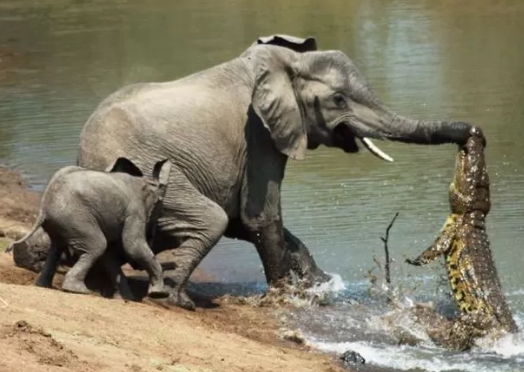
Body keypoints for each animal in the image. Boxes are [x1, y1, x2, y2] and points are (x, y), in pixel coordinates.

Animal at [6, 157, 171, 300]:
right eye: (160, 206)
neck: (146, 182)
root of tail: (43, 207)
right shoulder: (135, 211)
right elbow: (132, 246)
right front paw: (159, 294)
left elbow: (110, 255)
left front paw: (127, 299)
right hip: (75, 217)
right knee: (97, 245)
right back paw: (78, 290)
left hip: (62, 221)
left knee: (57, 248)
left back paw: (43, 286)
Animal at [78, 35, 470, 310]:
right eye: (338, 100)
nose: (472, 132)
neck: (284, 63)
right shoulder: (258, 134)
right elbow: (258, 216)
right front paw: (287, 297)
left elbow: (246, 221)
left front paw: (320, 284)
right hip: (147, 172)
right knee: (212, 219)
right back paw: (176, 299)